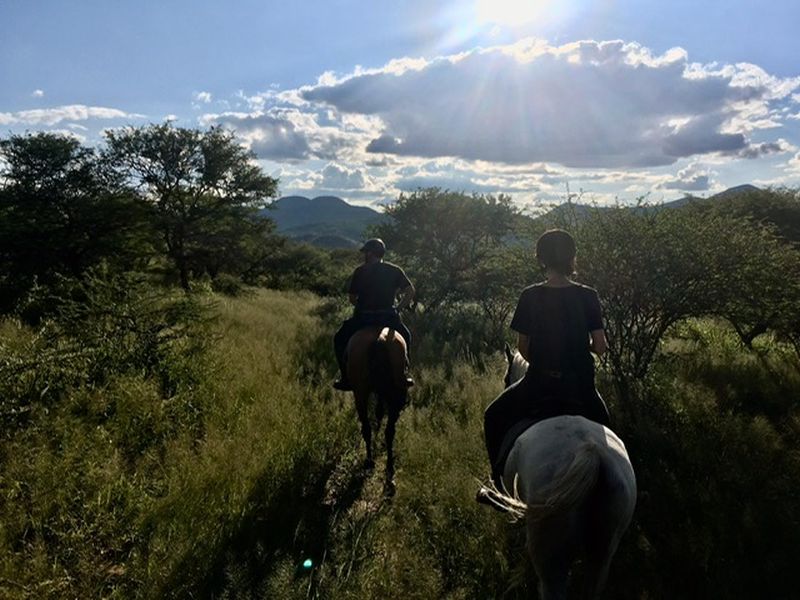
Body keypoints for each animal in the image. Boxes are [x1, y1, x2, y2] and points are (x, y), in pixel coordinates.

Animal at [344, 328, 410, 492]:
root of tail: (379, 339)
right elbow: (379, 412)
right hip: (391, 394)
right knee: (389, 431)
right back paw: (389, 470)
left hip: (360, 392)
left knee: (367, 428)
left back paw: (369, 461)